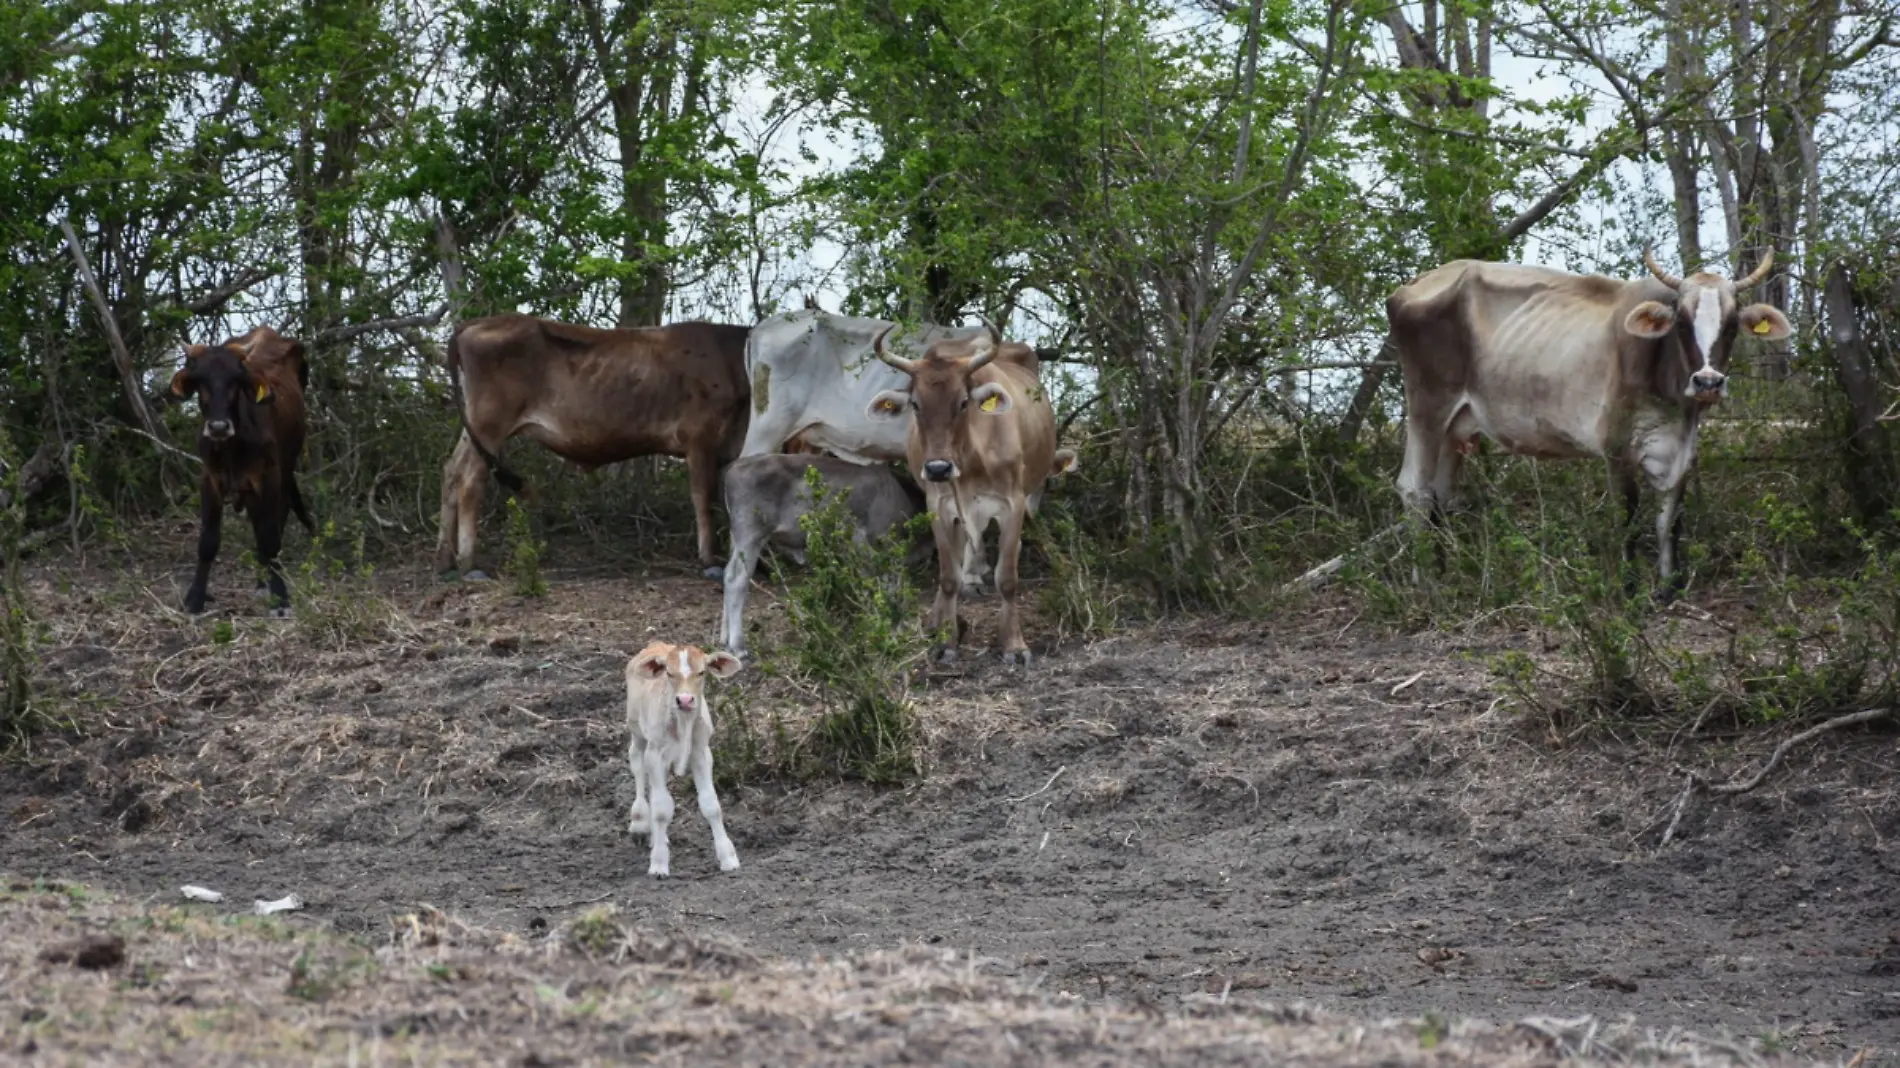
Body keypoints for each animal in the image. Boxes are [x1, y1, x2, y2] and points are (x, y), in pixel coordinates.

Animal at [166, 324, 311, 615]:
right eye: (201, 381)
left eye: (236, 380)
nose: (218, 427)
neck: (231, 447)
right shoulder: (210, 480)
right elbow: (208, 542)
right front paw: (195, 598)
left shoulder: (269, 478)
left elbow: (270, 537)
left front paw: (280, 598)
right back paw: (260, 580)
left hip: (285, 469)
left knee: (276, 520)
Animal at [435, 311, 748, 577]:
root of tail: (473, 324)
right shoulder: (700, 438)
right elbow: (705, 497)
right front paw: (710, 561)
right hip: (490, 422)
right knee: (470, 477)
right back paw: (468, 564)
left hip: (475, 425)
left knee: (451, 470)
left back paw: (445, 560)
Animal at [623, 638, 741, 874]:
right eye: (669, 673)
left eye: (702, 672)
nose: (685, 700)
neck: (683, 724)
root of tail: (655, 644)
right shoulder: (655, 752)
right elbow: (662, 809)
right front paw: (659, 864)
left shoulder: (701, 752)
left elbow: (711, 805)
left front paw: (728, 857)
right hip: (637, 731)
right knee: (638, 765)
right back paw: (639, 823)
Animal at [870, 317, 1064, 665]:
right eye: (916, 404)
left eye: (963, 402)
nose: (938, 469)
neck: (971, 459)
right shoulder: (938, 505)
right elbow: (949, 577)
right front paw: (946, 641)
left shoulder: (1012, 504)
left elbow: (1007, 579)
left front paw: (1014, 644)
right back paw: (937, 621)